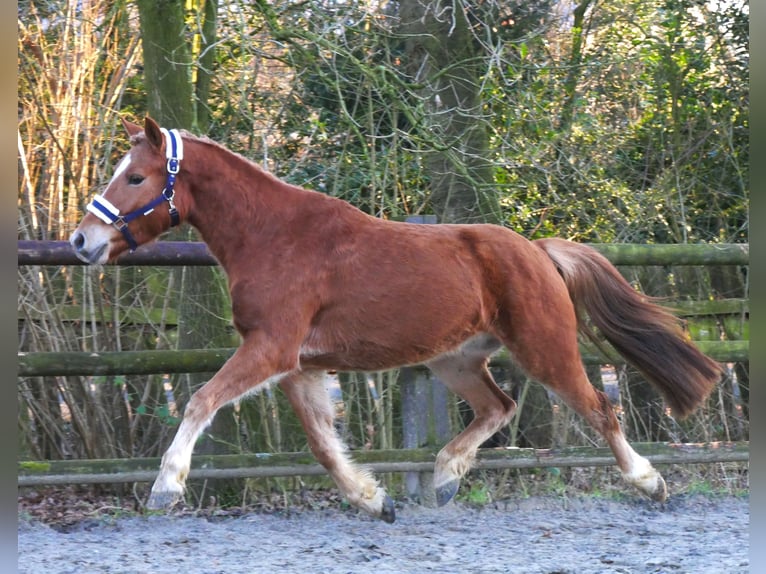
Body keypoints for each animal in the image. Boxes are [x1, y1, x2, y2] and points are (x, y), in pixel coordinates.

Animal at [69, 118, 724, 528]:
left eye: (135, 177)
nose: (82, 241)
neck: (274, 237)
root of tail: (537, 251)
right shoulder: (299, 366)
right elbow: (323, 445)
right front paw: (374, 500)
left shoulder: (272, 350)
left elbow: (201, 399)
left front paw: (165, 488)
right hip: (455, 359)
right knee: (499, 407)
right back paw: (445, 477)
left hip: (545, 350)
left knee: (599, 410)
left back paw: (649, 483)